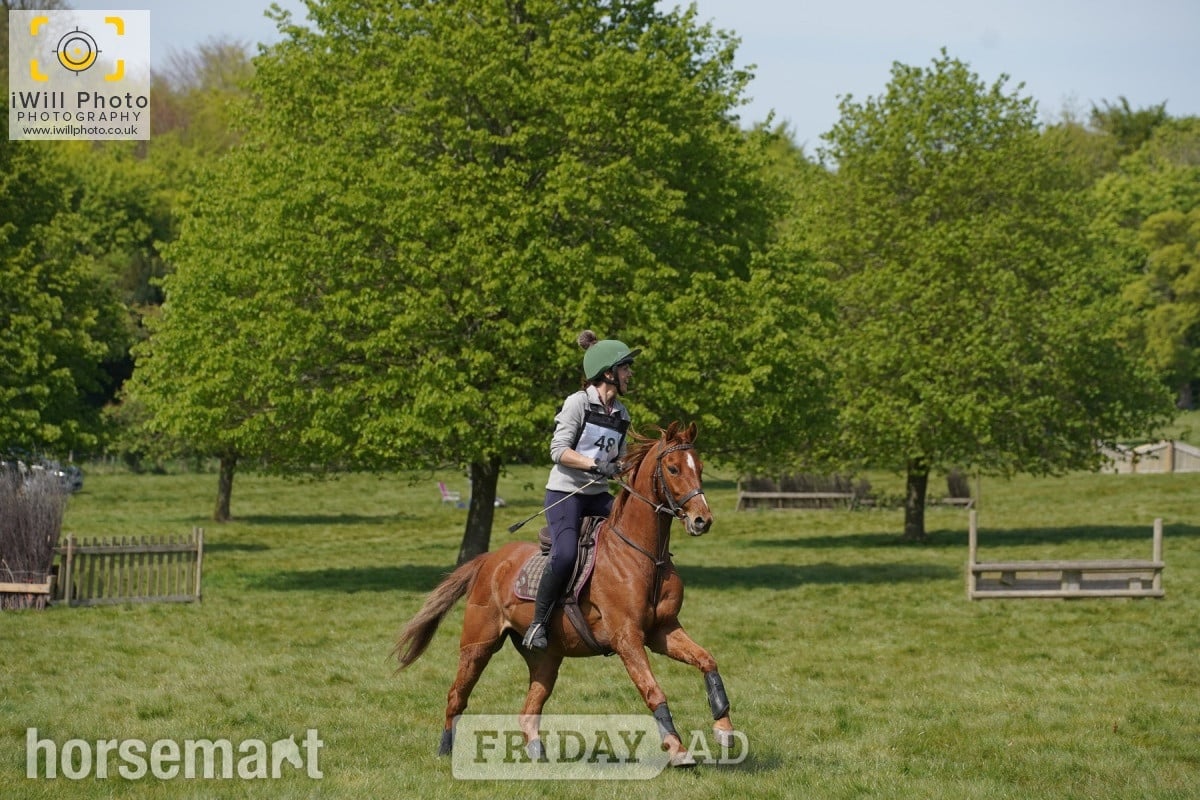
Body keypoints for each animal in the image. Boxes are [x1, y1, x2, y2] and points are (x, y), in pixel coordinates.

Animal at [394, 421, 736, 768]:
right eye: (673, 468)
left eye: (700, 468)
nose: (702, 520)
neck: (645, 555)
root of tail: (488, 560)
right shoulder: (627, 637)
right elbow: (653, 691)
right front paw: (678, 749)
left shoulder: (662, 631)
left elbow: (707, 660)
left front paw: (723, 728)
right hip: (478, 644)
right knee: (457, 696)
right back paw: (445, 749)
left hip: (546, 657)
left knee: (529, 708)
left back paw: (537, 752)